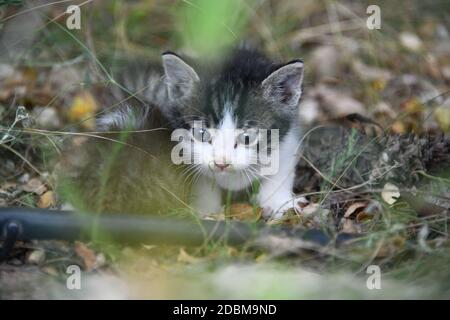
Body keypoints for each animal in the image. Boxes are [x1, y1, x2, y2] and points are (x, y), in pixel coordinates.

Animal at [91, 49, 304, 220]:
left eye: (247, 137)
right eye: (202, 134)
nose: (221, 163)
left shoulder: (287, 138)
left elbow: (281, 168)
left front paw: (279, 203)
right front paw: (204, 211)